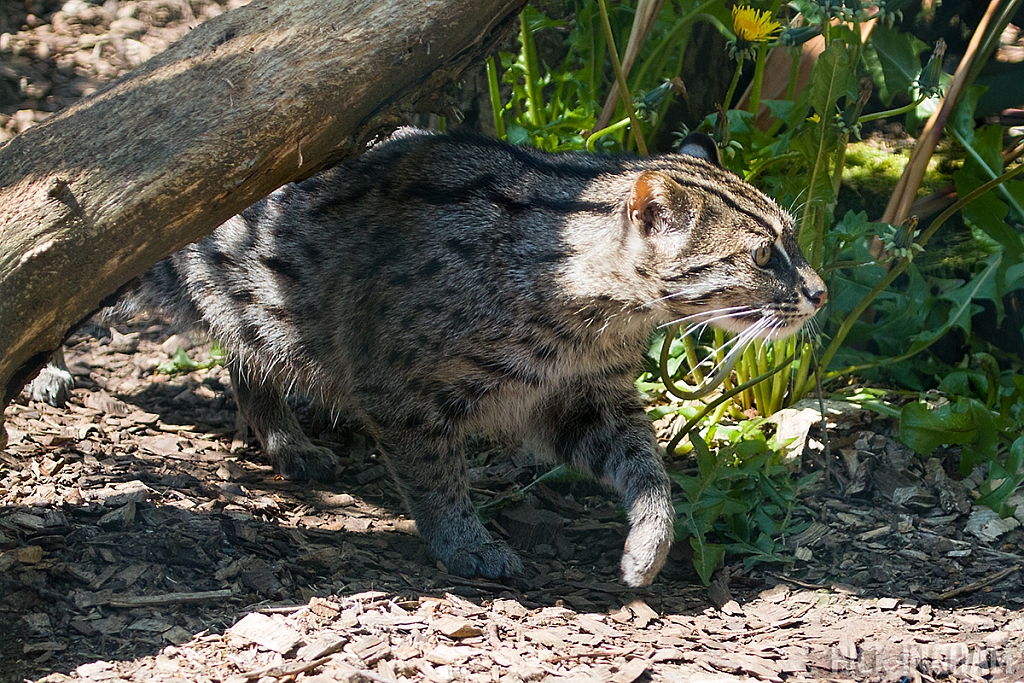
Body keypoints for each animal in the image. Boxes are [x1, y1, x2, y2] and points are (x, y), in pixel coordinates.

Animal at [32, 129, 827, 589]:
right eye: (763, 257)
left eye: (792, 237)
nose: (820, 292)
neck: (597, 316)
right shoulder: (399, 390)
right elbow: (434, 475)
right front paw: (464, 540)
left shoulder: (584, 398)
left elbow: (650, 469)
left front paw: (650, 542)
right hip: (130, 265)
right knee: (61, 275)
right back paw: (45, 366)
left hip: (260, 313)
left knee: (246, 361)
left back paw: (285, 436)